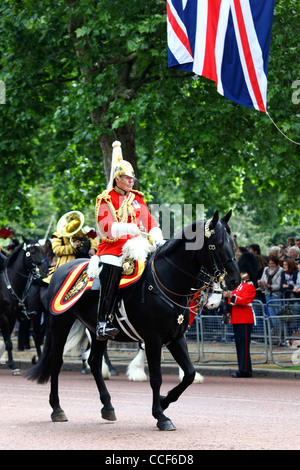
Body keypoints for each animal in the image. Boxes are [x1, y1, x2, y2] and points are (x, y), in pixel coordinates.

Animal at [0, 239, 47, 374]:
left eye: (41, 250)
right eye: (32, 251)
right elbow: (8, 342)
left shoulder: (11, 317)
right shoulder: (3, 316)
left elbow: (8, 342)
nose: (44, 270)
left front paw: (12, 364)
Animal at [26, 211, 241, 432]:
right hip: (60, 323)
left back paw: (108, 406)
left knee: (94, 362)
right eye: (216, 244)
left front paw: (164, 401)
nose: (235, 280)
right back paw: (57, 408)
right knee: (57, 361)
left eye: (232, 243)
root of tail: (60, 269)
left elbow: (189, 373)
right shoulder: (153, 339)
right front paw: (160, 415)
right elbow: (156, 377)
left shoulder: (176, 337)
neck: (166, 283)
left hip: (95, 330)